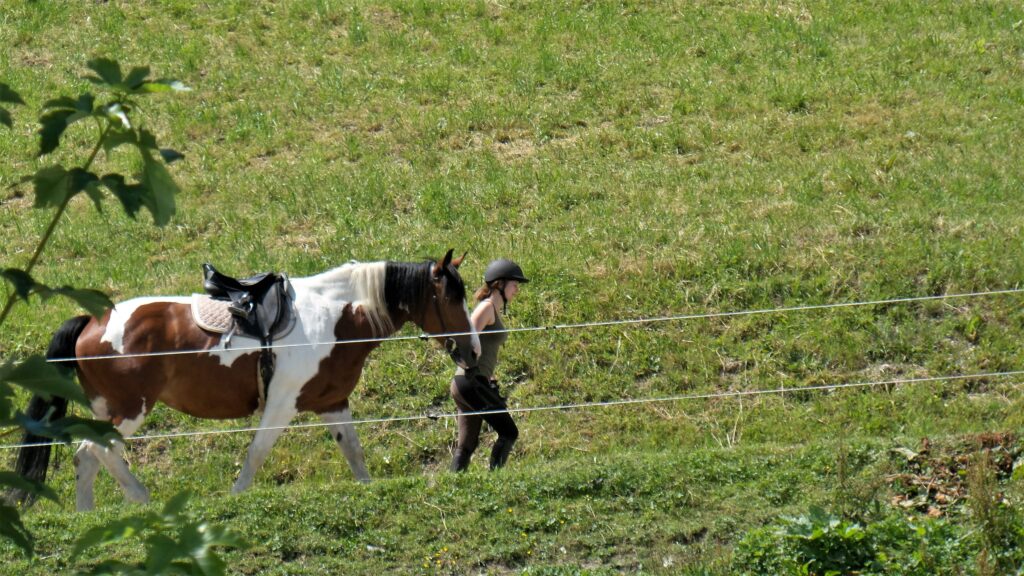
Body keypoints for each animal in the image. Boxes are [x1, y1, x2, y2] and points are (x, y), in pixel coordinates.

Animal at [14, 249, 479, 508]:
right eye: (450, 297)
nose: (474, 351)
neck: (334, 316)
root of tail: (91, 321)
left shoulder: (332, 403)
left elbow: (354, 454)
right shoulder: (282, 404)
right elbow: (256, 454)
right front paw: (236, 498)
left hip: (109, 412)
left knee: (88, 459)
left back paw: (91, 514)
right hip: (130, 410)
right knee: (96, 452)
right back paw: (139, 500)